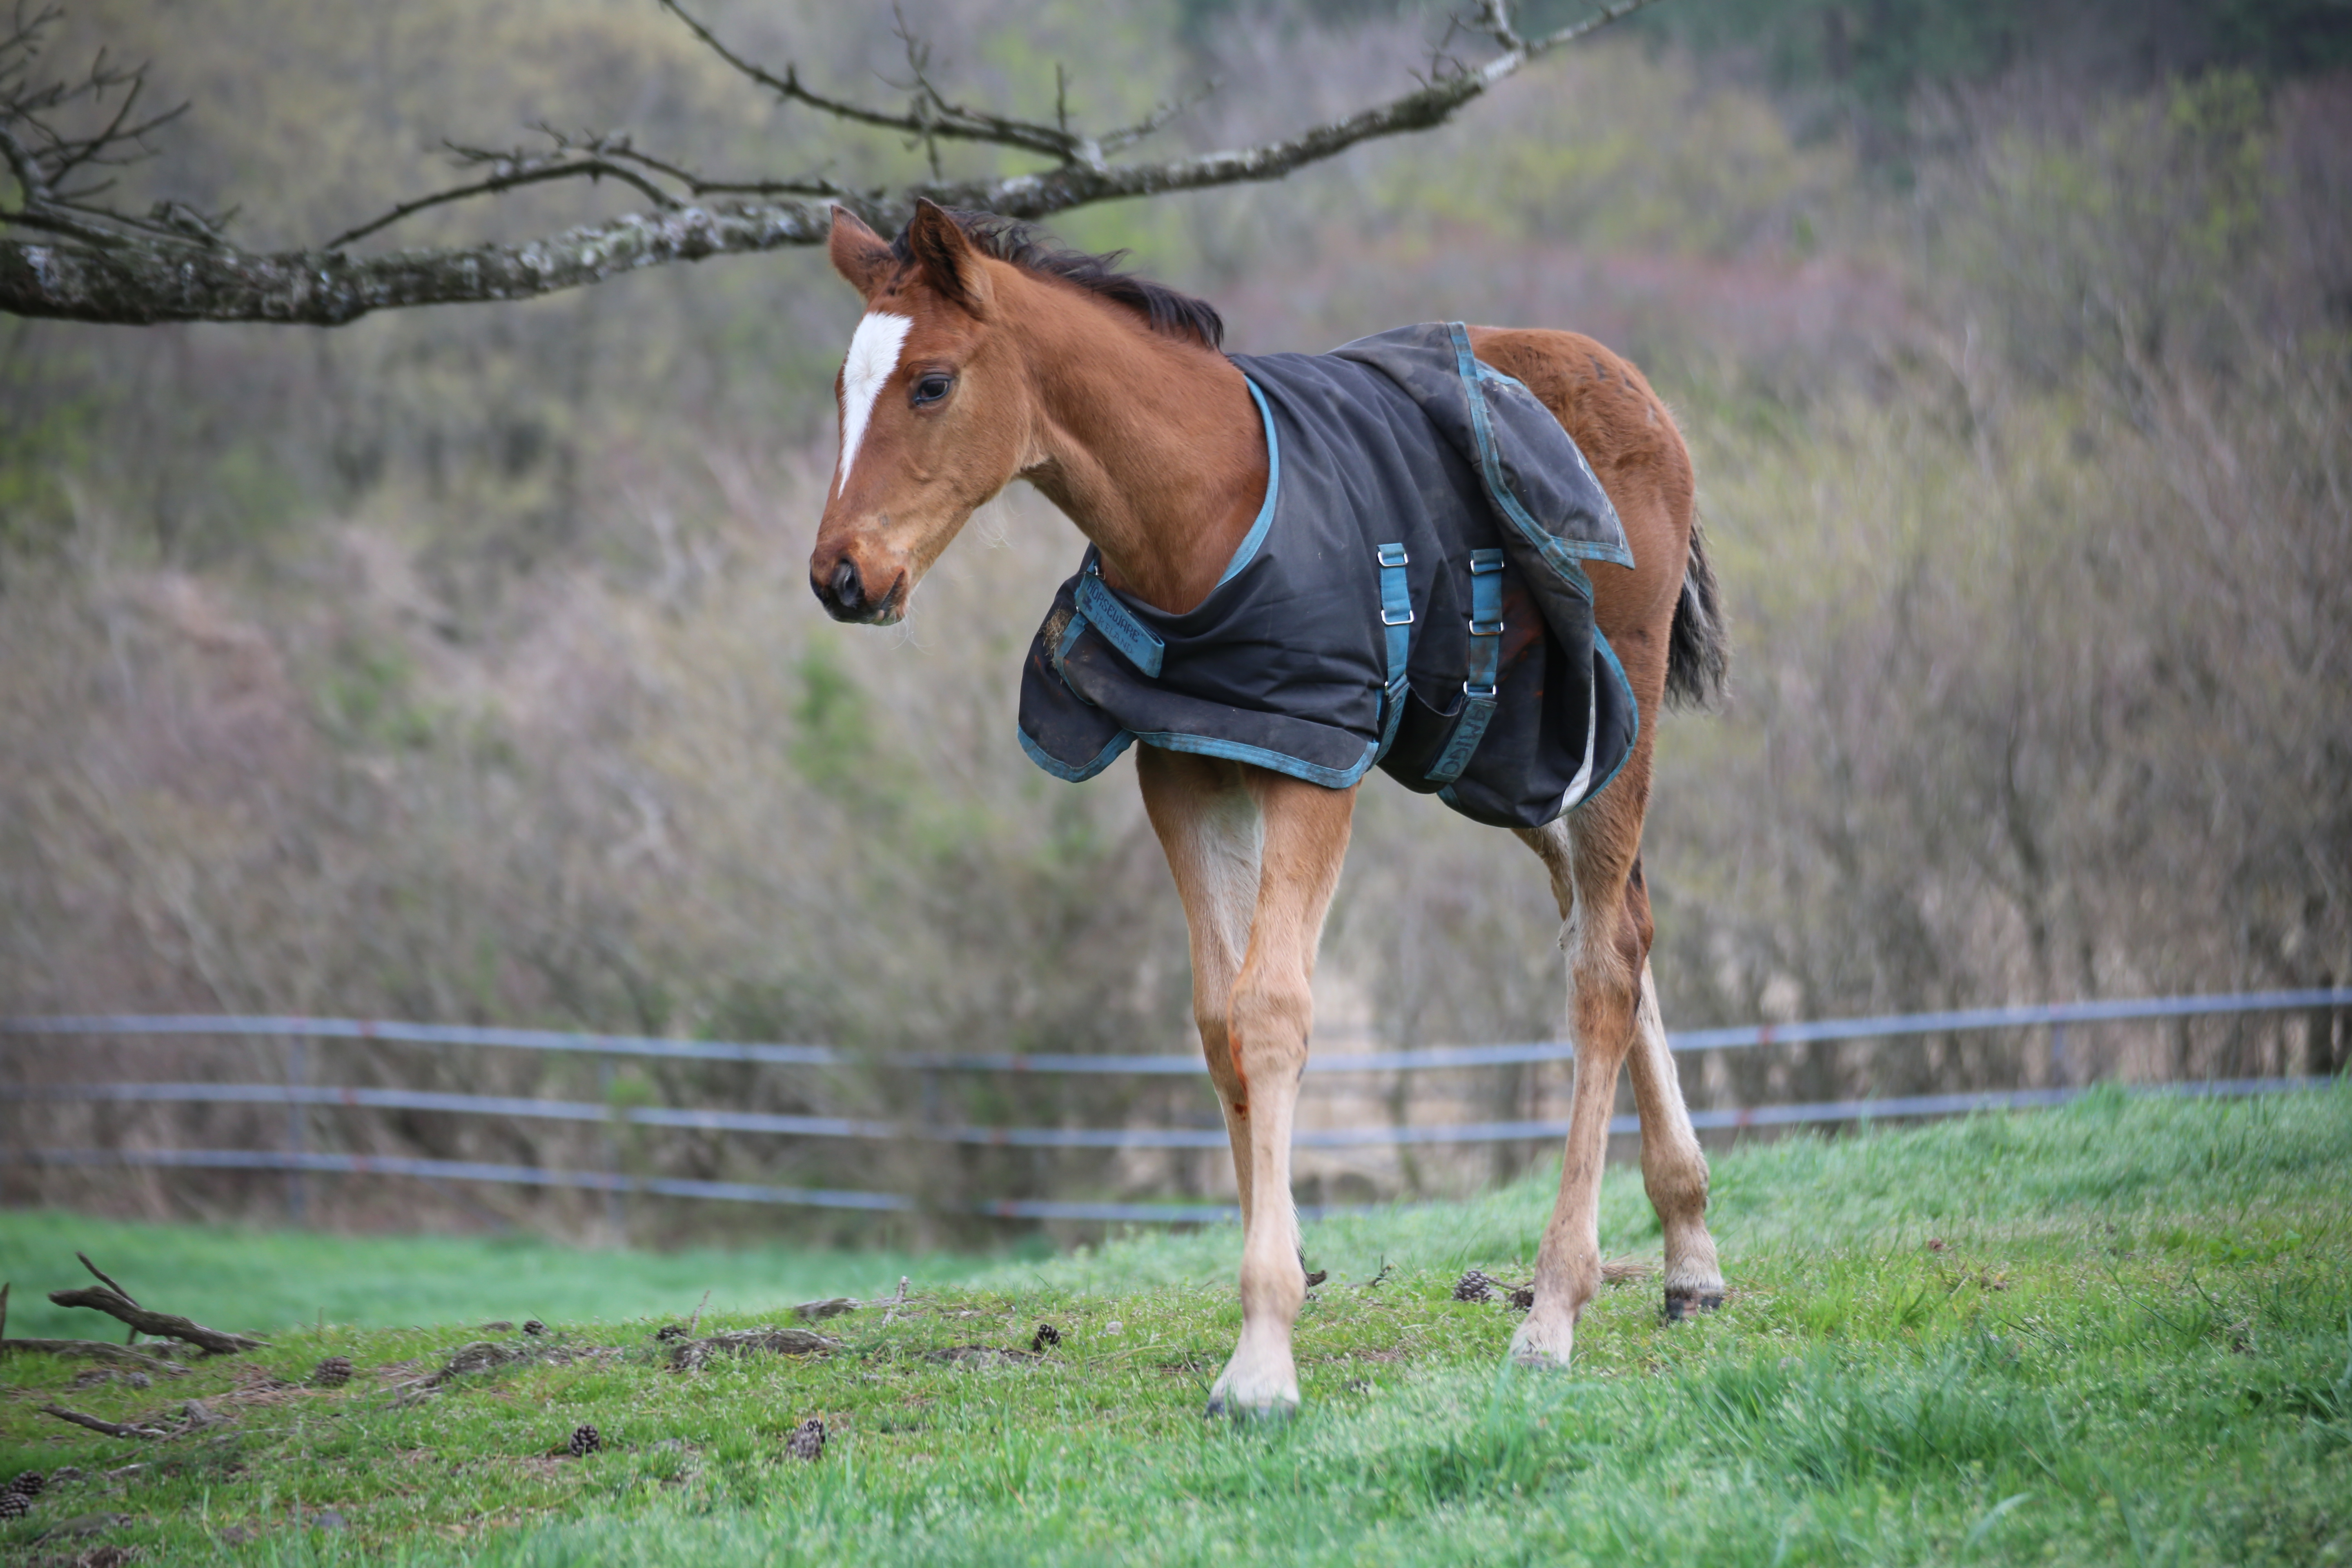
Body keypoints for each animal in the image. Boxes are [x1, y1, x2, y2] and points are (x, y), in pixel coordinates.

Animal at [818, 202, 1722, 1420]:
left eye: (930, 384)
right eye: (842, 387)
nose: (841, 575)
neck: (1204, 505)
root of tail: (1637, 391)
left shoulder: (1312, 764)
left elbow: (1273, 1009)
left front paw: (1260, 1361)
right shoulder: (1190, 766)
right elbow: (1217, 1020)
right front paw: (1270, 1306)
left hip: (1610, 721)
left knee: (1603, 969)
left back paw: (1554, 1310)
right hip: (1519, 760)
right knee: (1620, 921)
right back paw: (1689, 1256)